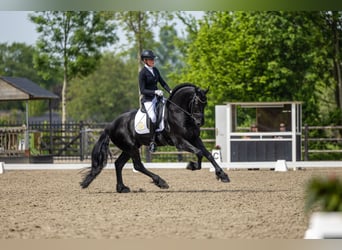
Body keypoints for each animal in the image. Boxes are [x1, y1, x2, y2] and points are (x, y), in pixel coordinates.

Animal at [80, 83, 230, 192]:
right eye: (197, 103)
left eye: (205, 103)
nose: (200, 122)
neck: (179, 113)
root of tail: (110, 125)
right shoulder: (180, 142)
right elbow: (199, 153)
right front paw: (191, 166)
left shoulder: (195, 139)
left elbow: (208, 154)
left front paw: (222, 175)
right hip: (131, 148)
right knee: (138, 165)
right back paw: (161, 182)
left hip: (129, 148)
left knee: (119, 164)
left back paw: (122, 188)